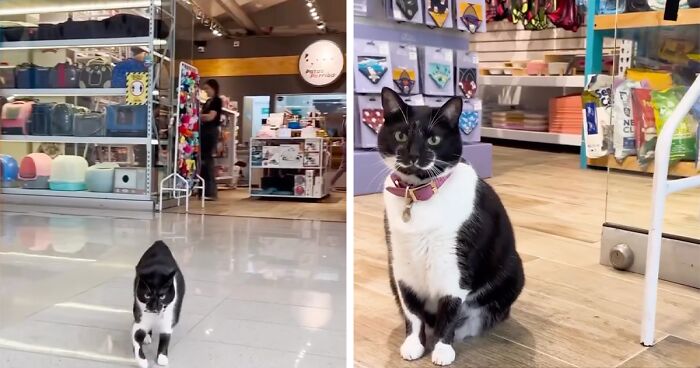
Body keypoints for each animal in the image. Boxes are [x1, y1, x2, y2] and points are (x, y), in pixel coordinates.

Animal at [378, 88, 524, 366]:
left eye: (434, 140)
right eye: (401, 135)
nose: (414, 155)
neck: (418, 196)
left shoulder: (453, 262)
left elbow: (451, 307)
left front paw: (443, 347)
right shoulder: (401, 264)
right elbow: (411, 310)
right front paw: (413, 344)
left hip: (513, 274)